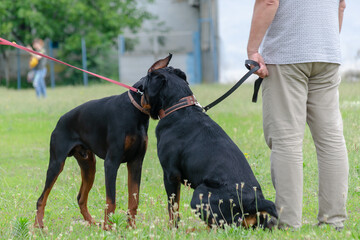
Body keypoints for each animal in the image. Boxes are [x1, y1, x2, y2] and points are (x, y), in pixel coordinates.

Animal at [34, 55, 172, 230]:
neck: (135, 111)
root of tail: (60, 121)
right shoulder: (111, 163)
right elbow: (111, 201)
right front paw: (109, 228)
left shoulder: (136, 162)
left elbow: (134, 199)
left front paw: (131, 228)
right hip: (56, 164)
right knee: (41, 198)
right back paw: (38, 226)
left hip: (89, 165)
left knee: (80, 197)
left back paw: (92, 222)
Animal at [142, 54, 278, 229]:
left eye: (144, 85)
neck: (179, 107)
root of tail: (254, 201)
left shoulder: (171, 174)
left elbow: (173, 207)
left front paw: (173, 229)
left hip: (200, 194)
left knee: (223, 224)